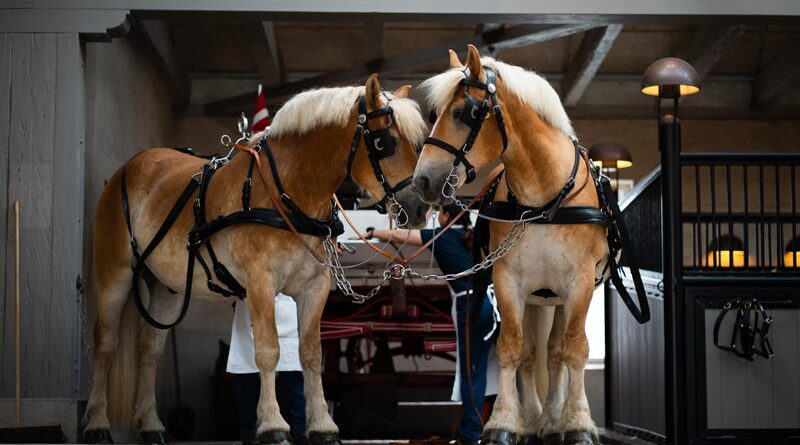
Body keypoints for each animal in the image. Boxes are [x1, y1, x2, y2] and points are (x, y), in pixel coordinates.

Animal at [83, 74, 432, 442]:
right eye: (385, 142)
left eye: (418, 142)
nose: (421, 207)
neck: (288, 192)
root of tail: (132, 166)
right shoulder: (261, 281)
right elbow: (268, 351)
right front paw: (273, 425)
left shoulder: (315, 286)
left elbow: (311, 353)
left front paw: (322, 425)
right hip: (115, 273)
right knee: (106, 342)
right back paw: (97, 422)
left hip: (167, 287)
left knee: (149, 349)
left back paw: (151, 425)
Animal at [412, 46, 648, 444]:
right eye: (434, 114)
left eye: (462, 113)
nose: (422, 180)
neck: (543, 201)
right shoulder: (508, 280)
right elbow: (512, 348)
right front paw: (505, 423)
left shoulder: (579, 283)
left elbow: (574, 349)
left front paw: (578, 423)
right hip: (537, 296)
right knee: (534, 351)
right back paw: (537, 418)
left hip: (558, 296)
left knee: (555, 352)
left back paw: (553, 421)